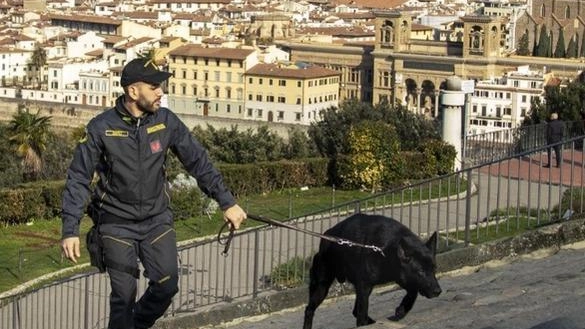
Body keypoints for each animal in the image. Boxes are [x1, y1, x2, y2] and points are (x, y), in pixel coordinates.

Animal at [304, 211, 440, 326]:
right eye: (421, 271)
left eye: (434, 269)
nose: (438, 291)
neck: (386, 250)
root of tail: (325, 238)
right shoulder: (365, 286)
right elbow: (361, 314)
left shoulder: (401, 277)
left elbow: (413, 292)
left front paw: (402, 310)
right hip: (321, 287)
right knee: (309, 310)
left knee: (355, 311)